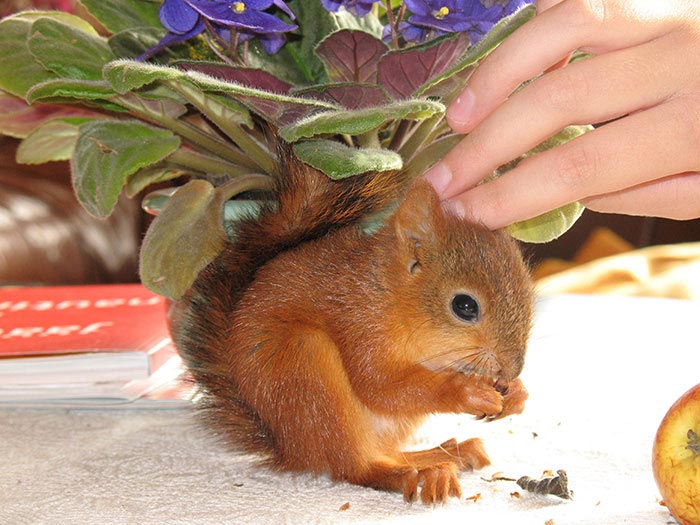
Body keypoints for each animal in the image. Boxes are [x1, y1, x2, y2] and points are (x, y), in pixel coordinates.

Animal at [170, 145, 534, 504]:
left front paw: (516, 394)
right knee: (354, 466)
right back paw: (417, 473)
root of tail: (290, 448)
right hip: (307, 368)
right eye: (464, 306)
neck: (390, 297)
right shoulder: (359, 324)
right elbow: (380, 385)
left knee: (384, 451)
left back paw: (443, 455)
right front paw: (466, 391)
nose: (513, 369)